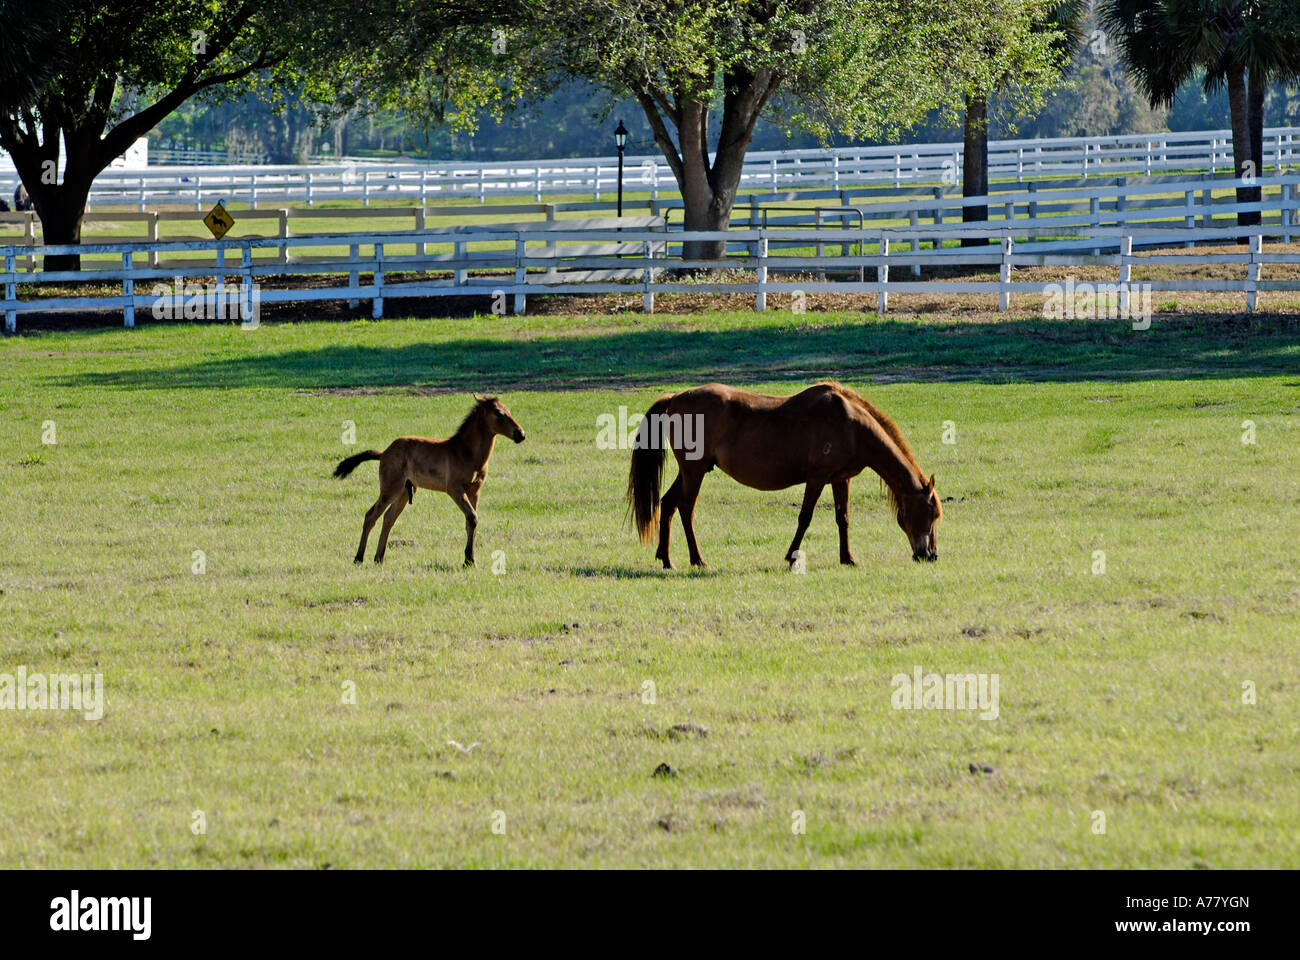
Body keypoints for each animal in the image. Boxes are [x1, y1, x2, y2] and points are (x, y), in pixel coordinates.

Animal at [334, 395, 525, 566]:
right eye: (498, 413)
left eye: (509, 410)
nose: (521, 434)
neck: (465, 452)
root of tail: (384, 453)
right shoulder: (455, 489)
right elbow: (472, 517)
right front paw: (468, 560)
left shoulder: (475, 490)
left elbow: (471, 521)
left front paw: (470, 560)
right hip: (390, 488)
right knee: (371, 515)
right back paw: (359, 558)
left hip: (404, 492)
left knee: (388, 518)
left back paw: (379, 558)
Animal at [626, 382, 941, 568]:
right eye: (931, 513)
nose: (931, 555)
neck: (850, 423)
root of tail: (675, 398)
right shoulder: (817, 478)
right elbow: (805, 518)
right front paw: (791, 557)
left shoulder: (841, 479)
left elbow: (843, 519)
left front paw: (848, 558)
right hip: (694, 472)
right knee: (685, 509)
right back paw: (697, 559)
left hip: (692, 470)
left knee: (667, 504)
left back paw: (666, 558)